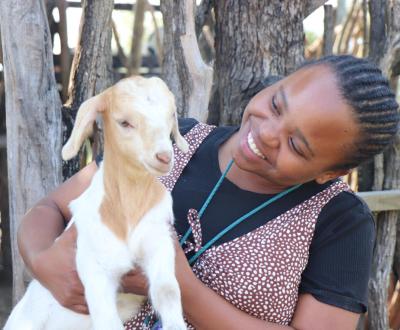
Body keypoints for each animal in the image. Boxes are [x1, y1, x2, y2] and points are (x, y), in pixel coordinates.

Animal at [4, 76, 189, 328]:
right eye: (124, 122)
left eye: (171, 115)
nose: (164, 157)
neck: (127, 211)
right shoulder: (95, 267)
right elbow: (106, 319)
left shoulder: (158, 242)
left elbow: (167, 291)